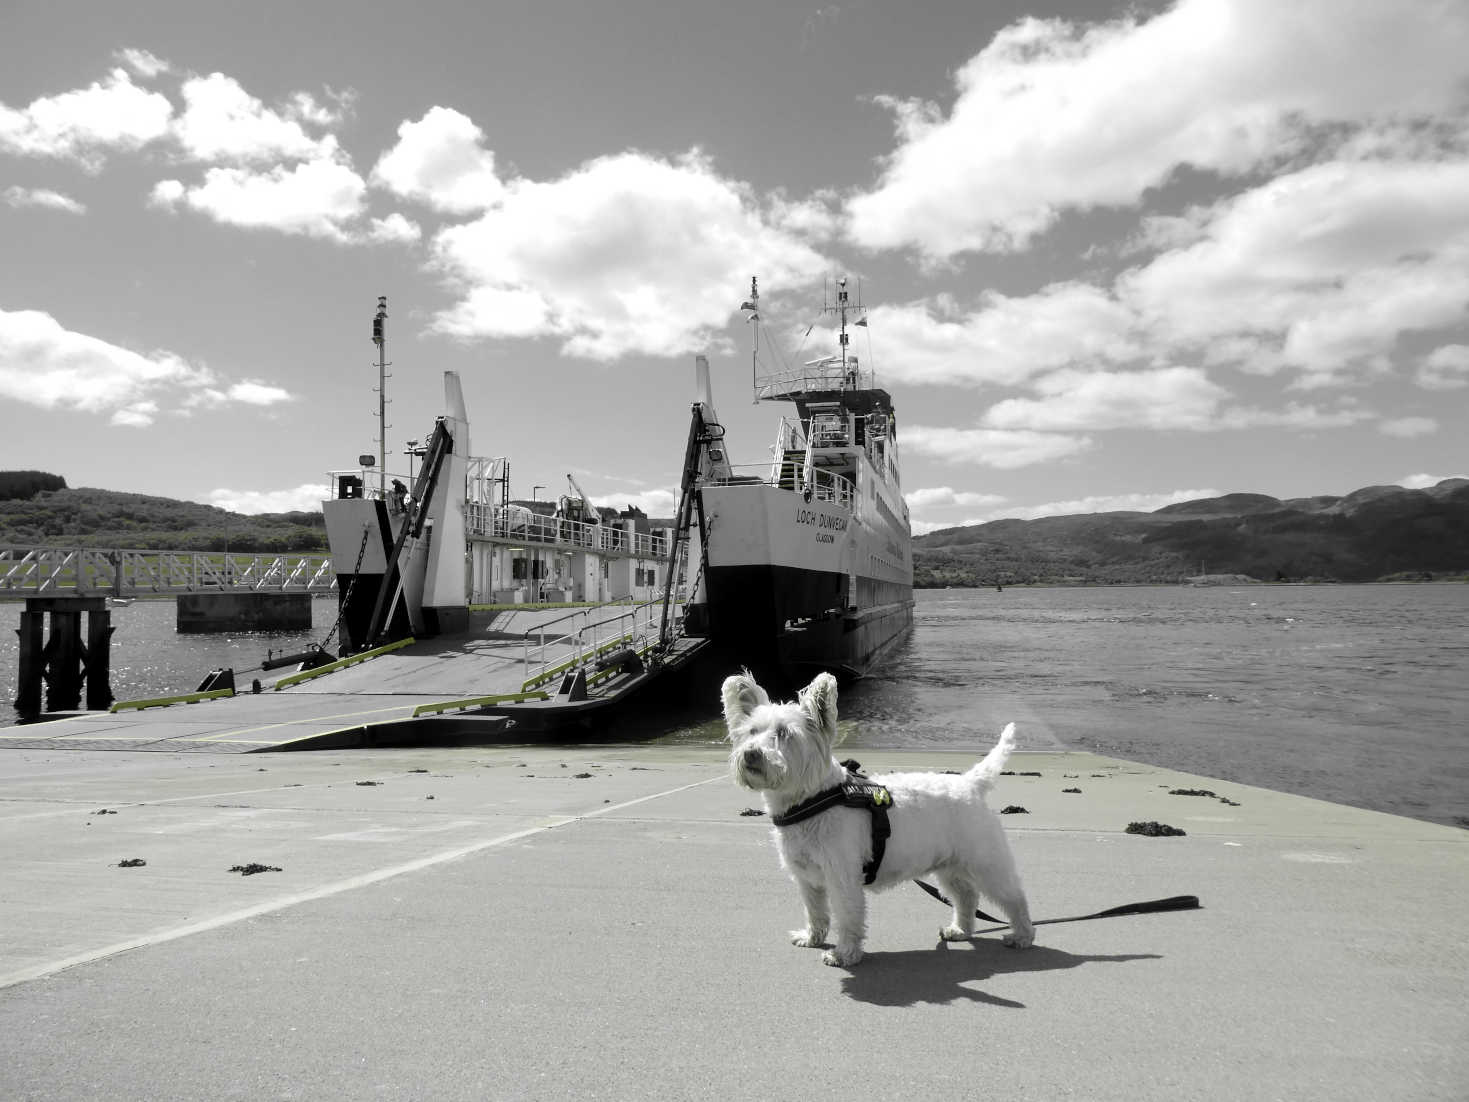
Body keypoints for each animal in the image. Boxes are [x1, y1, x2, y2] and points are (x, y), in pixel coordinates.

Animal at [722, 670, 1034, 969]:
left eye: (784, 732)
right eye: (751, 731)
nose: (751, 754)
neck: (811, 800)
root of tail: (971, 783)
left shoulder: (842, 877)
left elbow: (847, 917)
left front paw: (844, 954)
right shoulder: (807, 878)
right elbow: (816, 912)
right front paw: (812, 938)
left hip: (985, 863)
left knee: (1014, 897)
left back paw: (1021, 936)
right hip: (949, 867)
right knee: (966, 896)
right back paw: (960, 930)